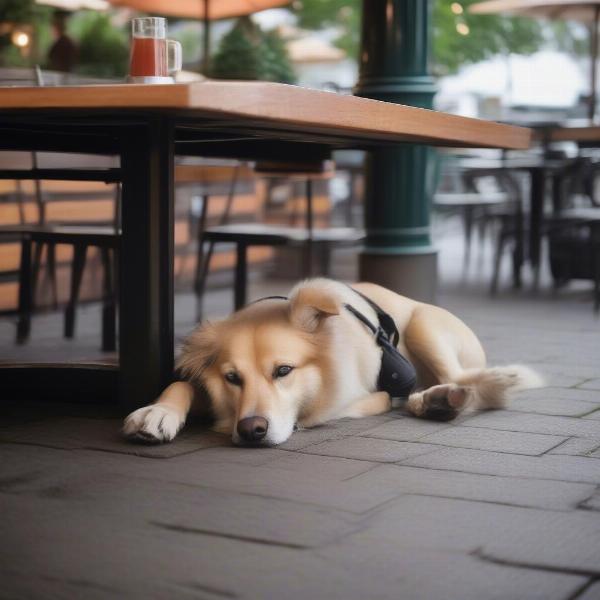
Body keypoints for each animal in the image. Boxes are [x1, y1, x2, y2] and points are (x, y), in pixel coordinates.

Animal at [123, 278, 544, 446]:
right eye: (231, 378)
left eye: (284, 371)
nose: (251, 430)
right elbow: (181, 383)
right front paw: (156, 413)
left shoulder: (356, 398)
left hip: (425, 328)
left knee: (467, 383)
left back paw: (441, 399)